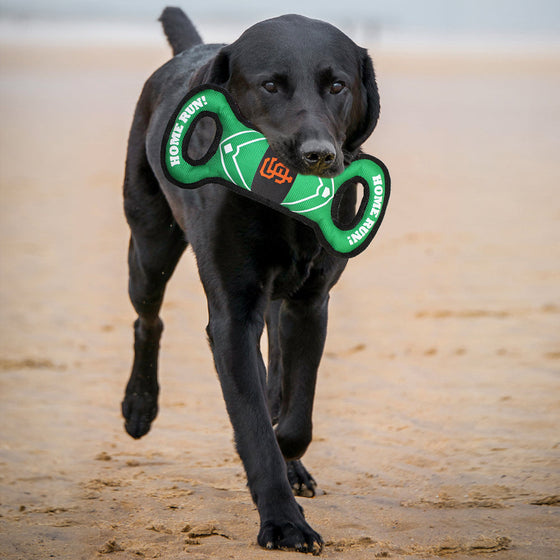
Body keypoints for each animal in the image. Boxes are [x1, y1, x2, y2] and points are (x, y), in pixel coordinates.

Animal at [120, 6, 378, 552]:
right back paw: (139, 405)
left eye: (338, 86)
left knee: (276, 375)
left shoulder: (309, 304)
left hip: (277, 304)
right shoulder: (233, 317)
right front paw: (283, 522)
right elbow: (254, 422)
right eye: (271, 85)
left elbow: (295, 415)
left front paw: (289, 459)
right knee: (148, 319)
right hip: (150, 247)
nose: (319, 155)